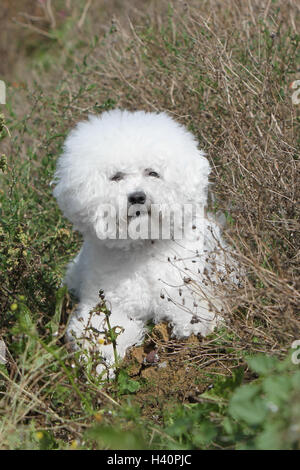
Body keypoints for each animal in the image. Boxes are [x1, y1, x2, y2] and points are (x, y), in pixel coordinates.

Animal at [53, 109, 232, 374]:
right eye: (116, 177)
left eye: (152, 172)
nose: (137, 197)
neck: (143, 245)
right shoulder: (109, 305)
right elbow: (102, 330)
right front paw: (102, 361)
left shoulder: (182, 284)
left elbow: (194, 303)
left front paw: (195, 323)